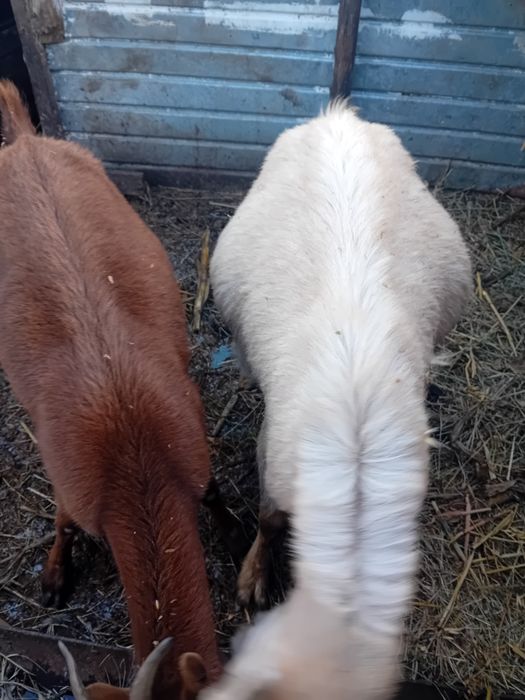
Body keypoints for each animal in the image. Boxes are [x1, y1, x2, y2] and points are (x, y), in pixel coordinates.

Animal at [0, 80, 245, 700]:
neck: (135, 451)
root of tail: (26, 140)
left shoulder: (191, 438)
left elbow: (213, 493)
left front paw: (235, 536)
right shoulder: (73, 478)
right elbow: (64, 520)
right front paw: (54, 578)